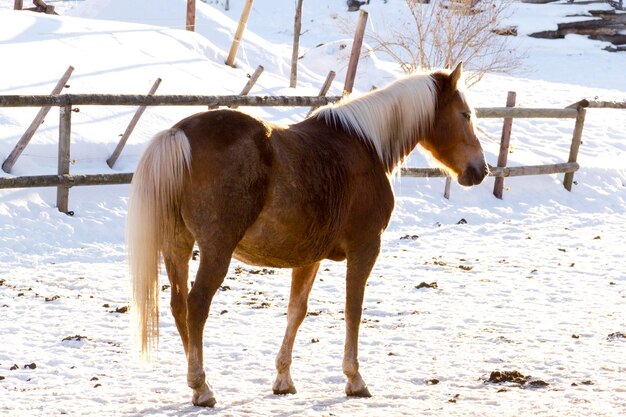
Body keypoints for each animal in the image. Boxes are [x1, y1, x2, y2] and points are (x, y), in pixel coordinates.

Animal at [127, 62, 488, 406]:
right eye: (465, 115)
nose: (480, 170)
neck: (365, 145)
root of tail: (178, 134)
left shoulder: (307, 257)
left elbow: (296, 312)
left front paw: (283, 379)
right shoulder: (365, 248)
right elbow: (353, 310)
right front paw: (354, 379)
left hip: (177, 245)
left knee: (178, 306)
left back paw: (199, 385)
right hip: (216, 249)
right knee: (196, 305)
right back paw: (202, 387)